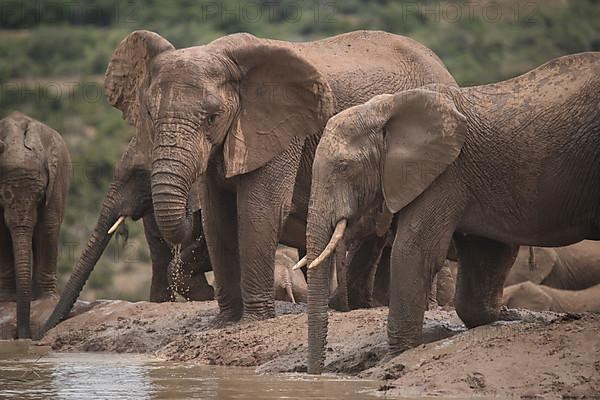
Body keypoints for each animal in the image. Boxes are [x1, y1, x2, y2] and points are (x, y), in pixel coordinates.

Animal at [0, 111, 71, 338]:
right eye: (2, 196)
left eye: (40, 196)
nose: (23, 336)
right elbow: (3, 236)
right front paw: (6, 300)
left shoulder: (55, 183)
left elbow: (47, 229)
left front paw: (46, 301)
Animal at [95, 30, 454, 324]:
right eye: (149, 113)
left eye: (212, 117)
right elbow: (217, 217)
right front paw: (226, 321)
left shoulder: (282, 130)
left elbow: (259, 210)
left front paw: (253, 320)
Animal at [304, 51, 600, 374]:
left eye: (345, 167)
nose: (316, 373)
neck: (386, 108)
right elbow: (488, 252)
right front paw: (510, 317)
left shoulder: (444, 173)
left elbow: (413, 252)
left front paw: (396, 356)